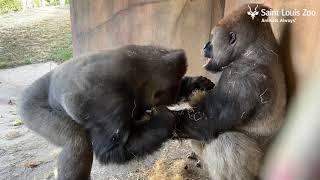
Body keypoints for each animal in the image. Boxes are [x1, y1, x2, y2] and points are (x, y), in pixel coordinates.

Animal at [17, 45, 212, 180]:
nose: (178, 89)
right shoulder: (109, 100)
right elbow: (112, 149)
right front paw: (167, 119)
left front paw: (196, 84)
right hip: (30, 105)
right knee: (77, 143)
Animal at [175, 4, 288, 180]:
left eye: (213, 38)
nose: (205, 46)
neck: (250, 50)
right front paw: (194, 84)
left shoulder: (240, 77)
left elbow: (206, 120)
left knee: (225, 141)